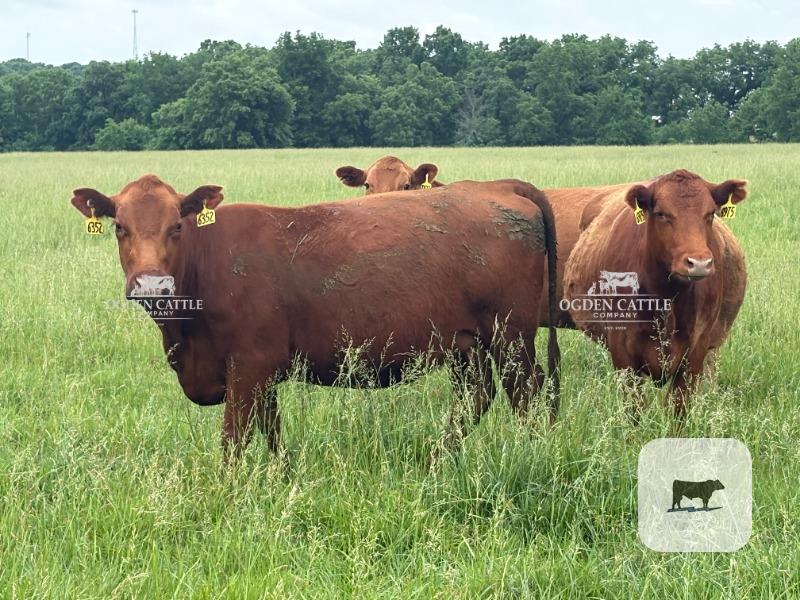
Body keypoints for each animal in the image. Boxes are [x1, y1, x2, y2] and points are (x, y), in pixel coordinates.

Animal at [70, 175, 560, 459]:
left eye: (177, 225)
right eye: (119, 227)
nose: (152, 285)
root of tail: (498, 186)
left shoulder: (249, 364)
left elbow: (234, 438)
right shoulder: (260, 371)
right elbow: (271, 431)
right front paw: (280, 478)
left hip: (511, 337)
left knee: (527, 397)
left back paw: (530, 455)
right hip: (465, 343)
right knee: (476, 397)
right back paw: (438, 458)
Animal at [562, 169, 747, 417]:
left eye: (710, 214)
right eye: (661, 214)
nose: (699, 263)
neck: (665, 300)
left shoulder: (695, 352)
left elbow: (678, 409)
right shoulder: (622, 354)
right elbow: (635, 410)